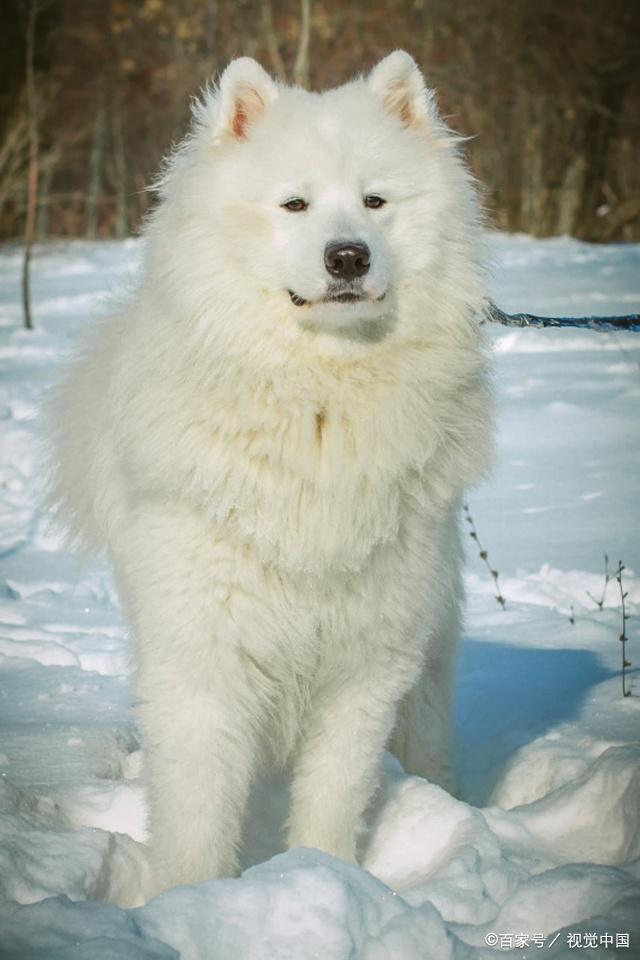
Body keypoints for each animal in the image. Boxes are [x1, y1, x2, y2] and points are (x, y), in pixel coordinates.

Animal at [48, 50, 490, 900]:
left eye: (376, 201)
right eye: (295, 203)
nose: (348, 256)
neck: (319, 405)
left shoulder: (365, 664)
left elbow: (334, 796)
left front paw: (325, 878)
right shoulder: (202, 656)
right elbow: (196, 812)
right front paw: (185, 902)